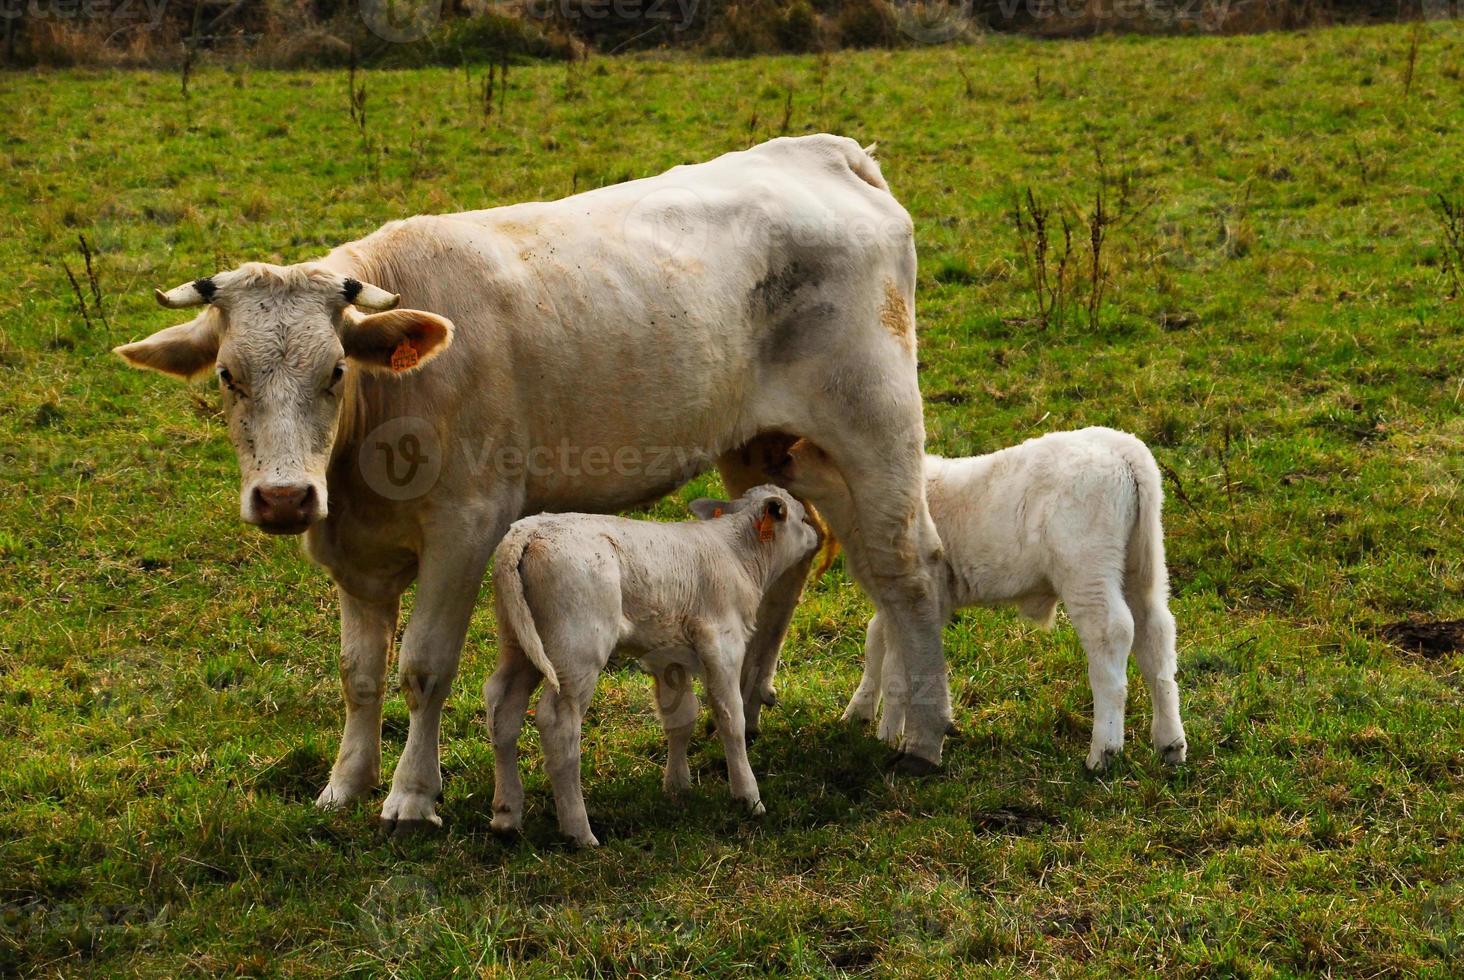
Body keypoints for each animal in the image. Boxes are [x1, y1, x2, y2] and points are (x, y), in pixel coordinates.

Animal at [483, 480, 819, 843]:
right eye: (801, 517)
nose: (817, 534)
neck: (738, 555)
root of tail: (528, 531)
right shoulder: (722, 642)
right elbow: (732, 716)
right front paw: (748, 796)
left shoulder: (669, 655)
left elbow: (681, 718)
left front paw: (677, 786)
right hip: (576, 647)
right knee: (558, 724)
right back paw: (579, 832)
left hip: (519, 640)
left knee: (503, 708)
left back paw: (506, 815)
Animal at [778, 427, 1188, 773]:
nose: (781, 460)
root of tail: (1124, 451)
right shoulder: (890, 596)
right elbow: (876, 642)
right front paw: (860, 713)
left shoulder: (915, 591)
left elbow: (896, 661)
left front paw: (889, 733)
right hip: (1143, 560)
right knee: (1156, 635)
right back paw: (1170, 743)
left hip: (1087, 562)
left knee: (1111, 634)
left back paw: (1103, 751)